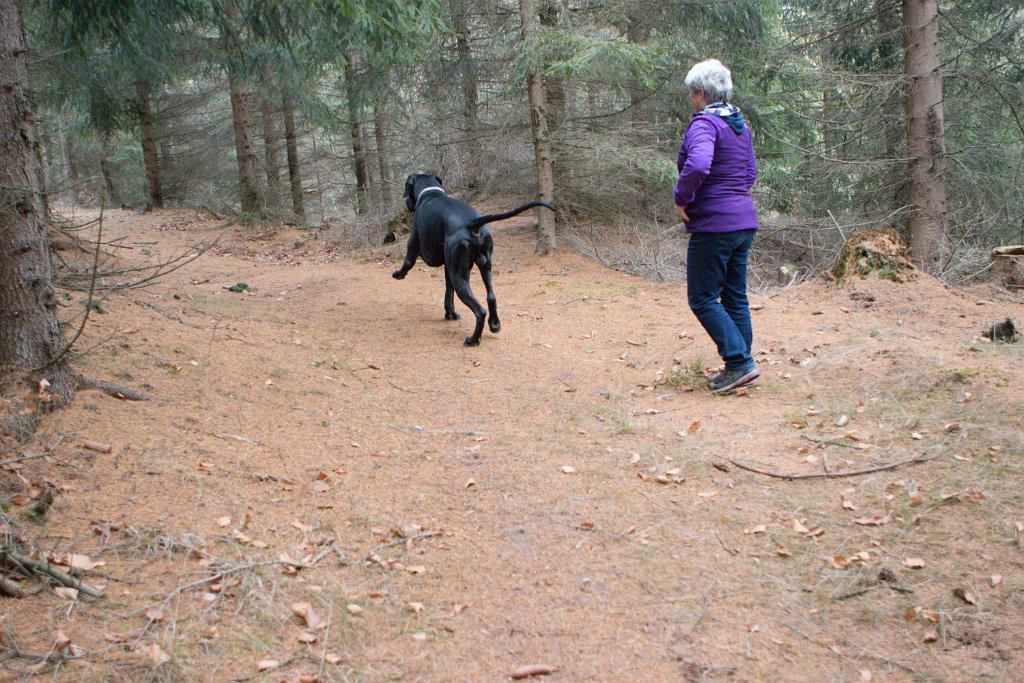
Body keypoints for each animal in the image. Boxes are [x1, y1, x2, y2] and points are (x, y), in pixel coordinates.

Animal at [391, 174, 557, 348]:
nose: (406, 203)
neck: (431, 192)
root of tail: (471, 223)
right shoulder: (448, 268)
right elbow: (449, 293)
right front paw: (451, 314)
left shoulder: (414, 244)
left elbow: (408, 261)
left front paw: (399, 273)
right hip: (483, 268)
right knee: (491, 297)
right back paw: (494, 325)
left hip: (460, 277)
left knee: (480, 311)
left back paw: (473, 339)